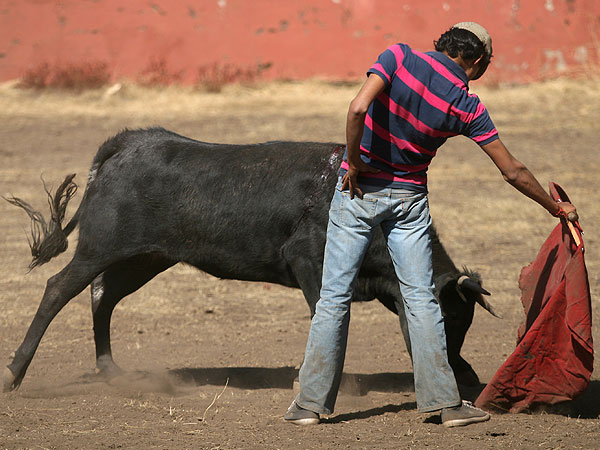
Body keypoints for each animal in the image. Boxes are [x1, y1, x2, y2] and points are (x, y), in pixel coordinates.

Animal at [3, 125, 496, 390]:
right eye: (451, 316)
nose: (466, 375)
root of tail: (128, 144)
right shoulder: (310, 261)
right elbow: (326, 314)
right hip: (102, 246)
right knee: (60, 289)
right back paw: (15, 373)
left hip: (146, 257)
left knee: (102, 297)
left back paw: (111, 371)